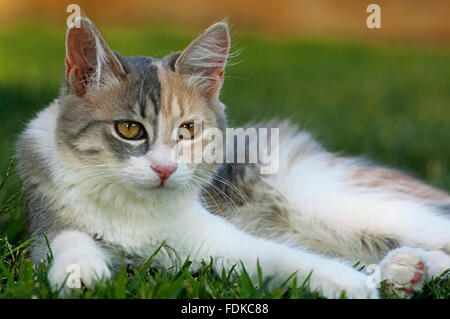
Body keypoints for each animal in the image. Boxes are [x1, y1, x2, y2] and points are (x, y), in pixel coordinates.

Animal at [14, 16, 450, 298]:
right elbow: (67, 240)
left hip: (346, 202)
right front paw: (80, 273)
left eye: (187, 130)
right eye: (129, 130)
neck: (132, 207)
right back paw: (405, 271)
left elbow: (283, 257)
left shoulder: (211, 238)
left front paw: (349, 283)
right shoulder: (45, 220)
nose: (164, 169)